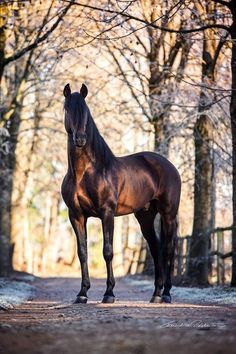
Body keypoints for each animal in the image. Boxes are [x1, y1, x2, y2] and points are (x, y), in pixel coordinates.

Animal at [60, 83, 181, 304]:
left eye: (86, 111)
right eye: (67, 109)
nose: (80, 139)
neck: (86, 171)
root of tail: (169, 165)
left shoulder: (106, 213)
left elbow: (108, 251)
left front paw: (109, 293)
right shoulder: (76, 215)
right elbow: (82, 252)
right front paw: (82, 293)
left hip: (168, 214)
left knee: (169, 249)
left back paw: (167, 293)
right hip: (145, 217)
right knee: (156, 249)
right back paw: (156, 294)